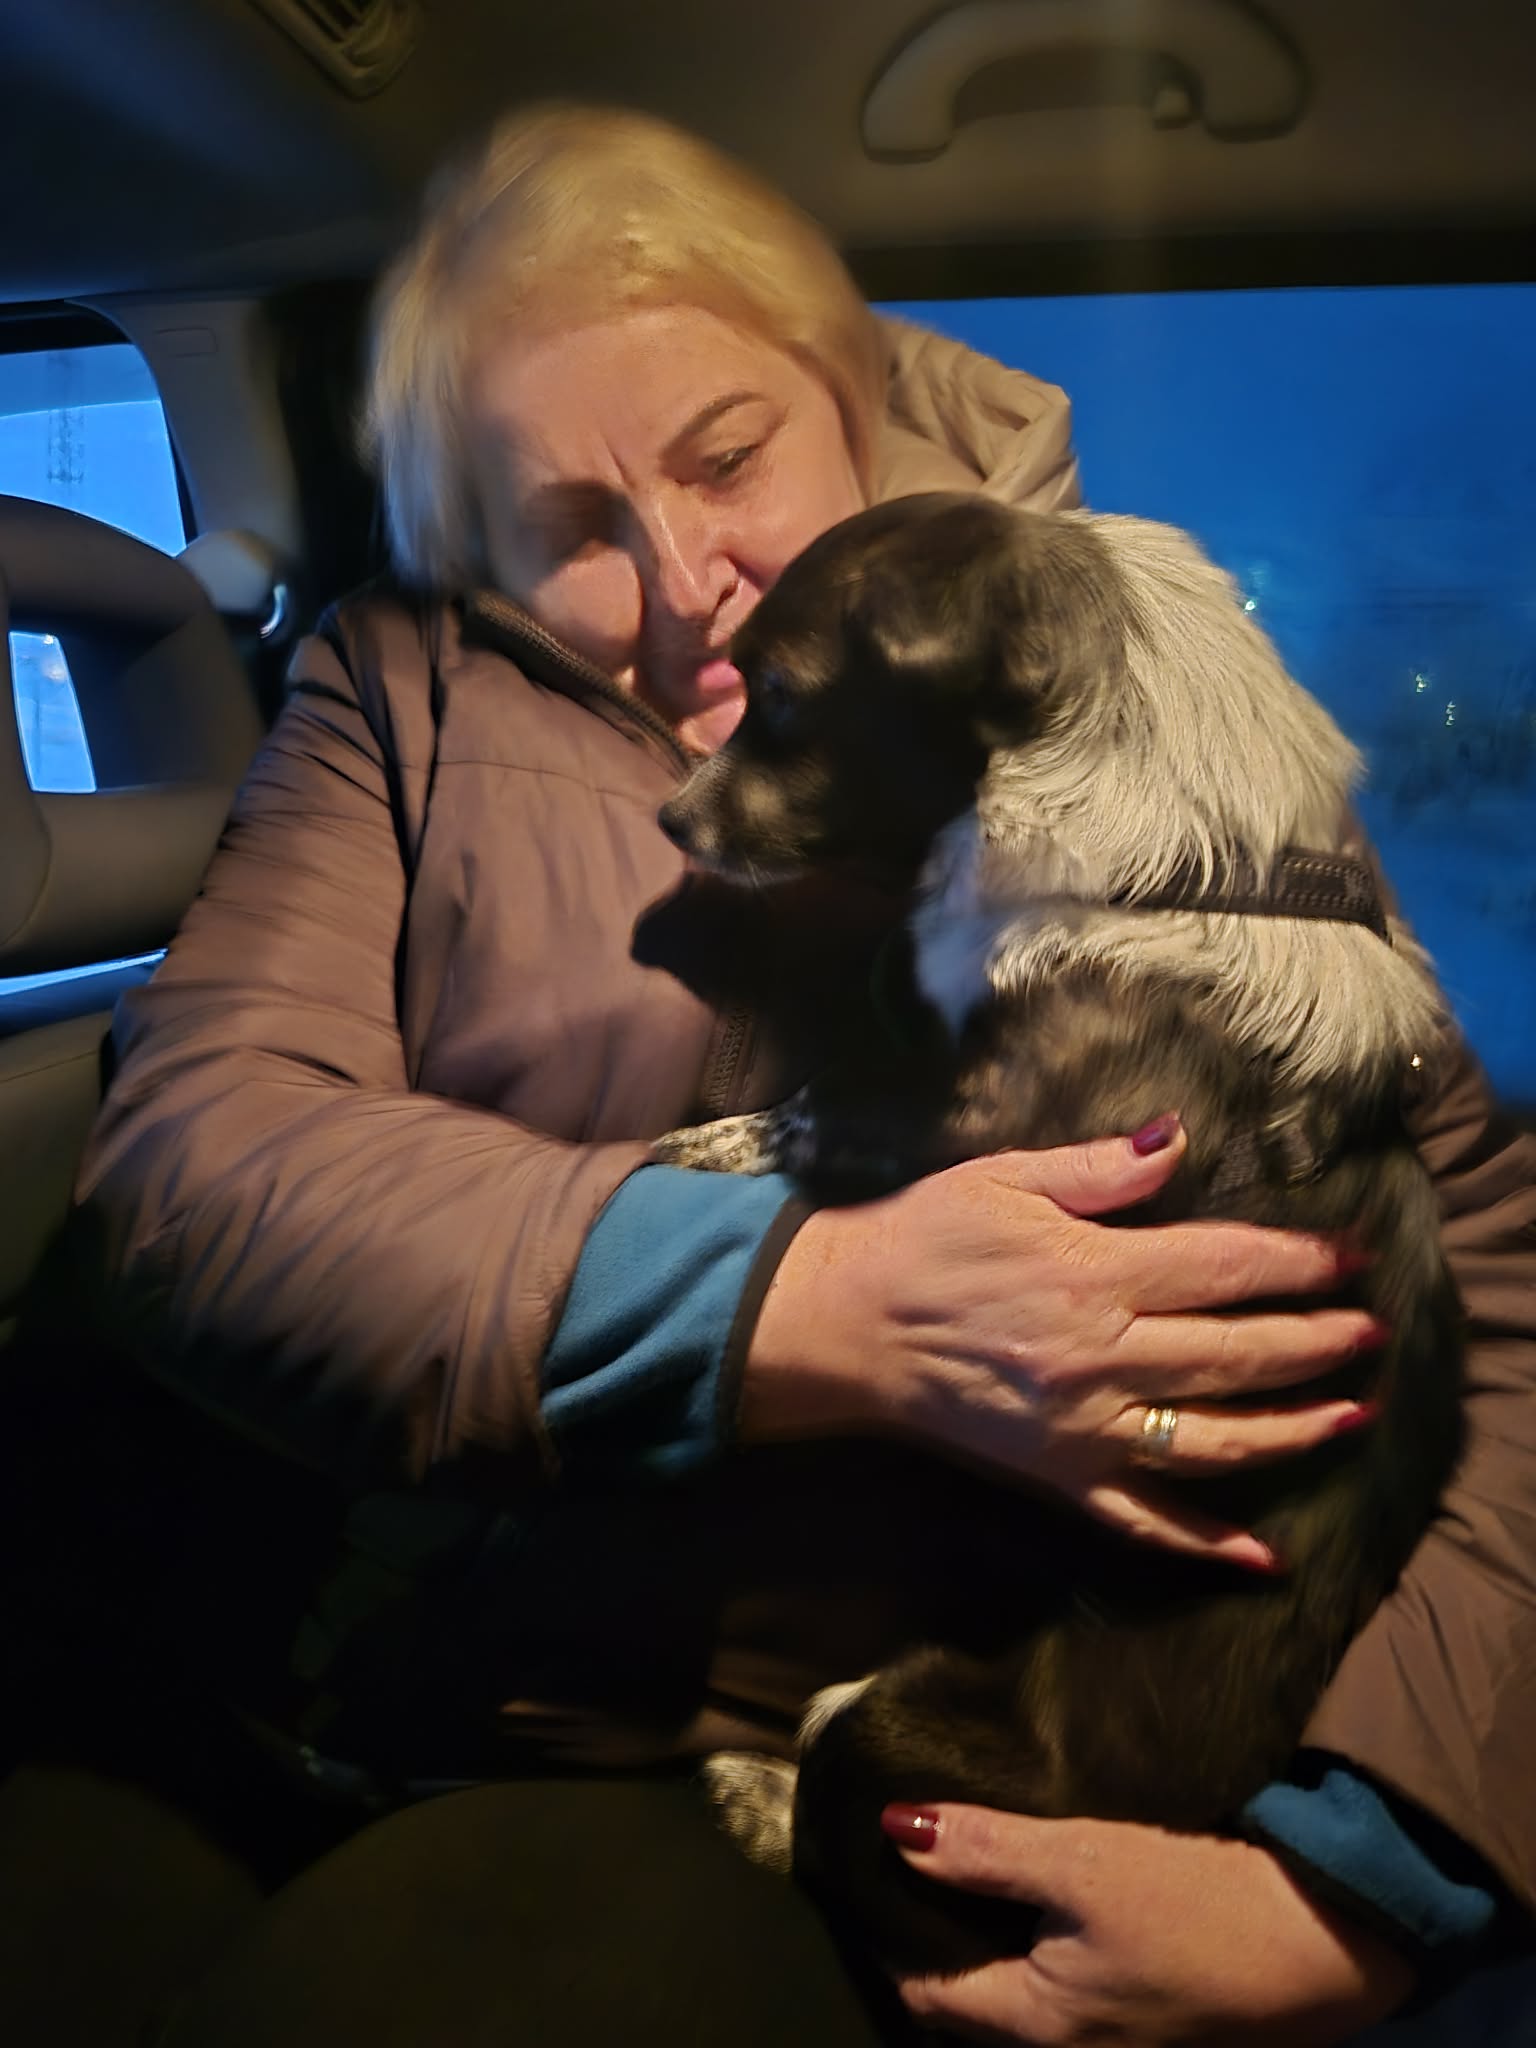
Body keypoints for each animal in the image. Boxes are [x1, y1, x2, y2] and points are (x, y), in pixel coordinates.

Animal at [650, 492, 1464, 1976]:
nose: (671, 816)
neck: (1171, 870)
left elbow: (813, 1111)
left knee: (848, 1851)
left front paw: (705, 1145)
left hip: (890, 1729)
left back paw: (757, 1797)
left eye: (780, 693)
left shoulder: (1006, 1130)